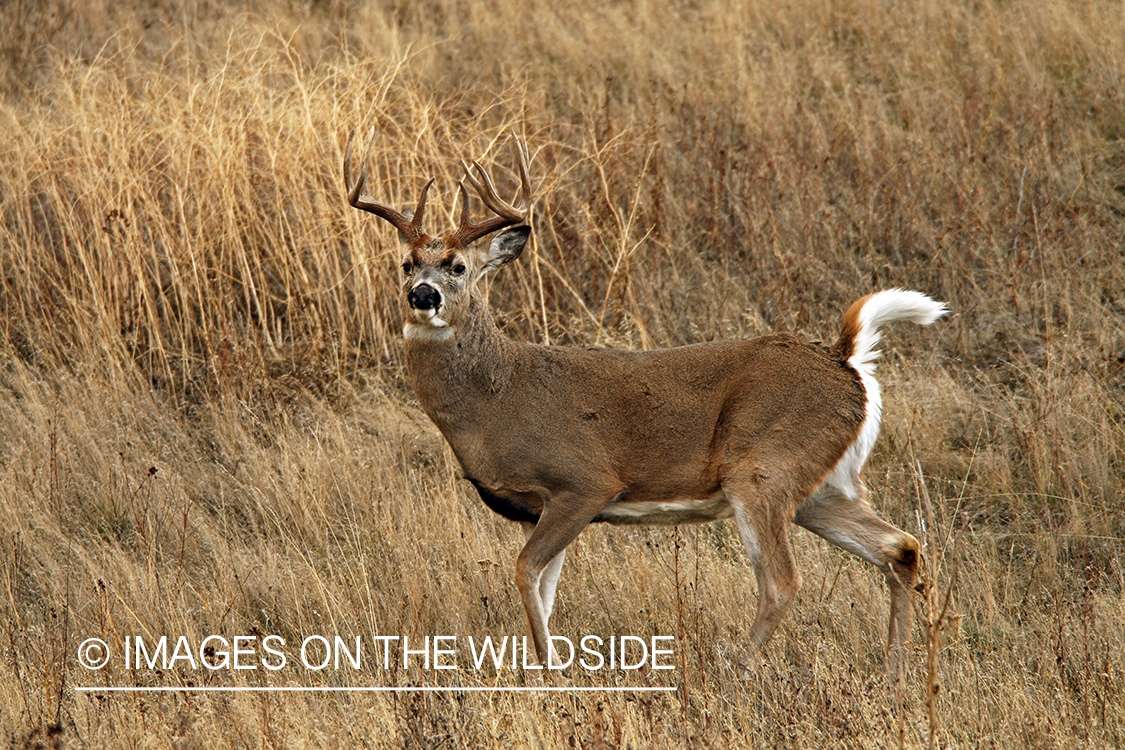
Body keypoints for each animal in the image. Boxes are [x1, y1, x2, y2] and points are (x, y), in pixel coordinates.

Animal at [344, 132, 949, 683]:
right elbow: (544, 587)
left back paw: (732, 671)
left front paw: (549, 676)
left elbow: (525, 574)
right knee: (901, 548)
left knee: (782, 581)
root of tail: (847, 361)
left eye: (458, 267)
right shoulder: (546, 506)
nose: (423, 296)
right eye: (405, 264)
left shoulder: (583, 482)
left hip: (763, 467)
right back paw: (894, 677)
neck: (497, 400)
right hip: (822, 487)